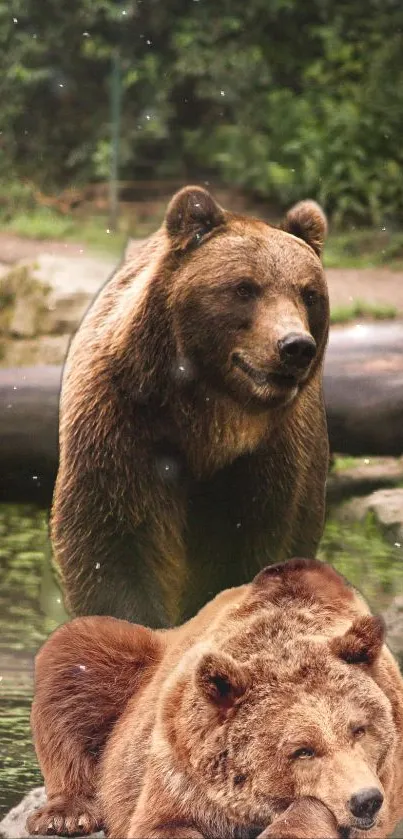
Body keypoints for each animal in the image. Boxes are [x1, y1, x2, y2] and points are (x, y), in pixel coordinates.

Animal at [26, 556, 403, 839]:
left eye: (359, 729)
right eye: (302, 750)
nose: (365, 800)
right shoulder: (182, 769)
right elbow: (162, 824)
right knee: (75, 653)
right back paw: (65, 816)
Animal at [52, 185, 332, 632]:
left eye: (309, 294)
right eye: (244, 288)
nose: (294, 346)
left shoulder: (269, 459)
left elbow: (249, 550)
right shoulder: (120, 424)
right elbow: (111, 547)